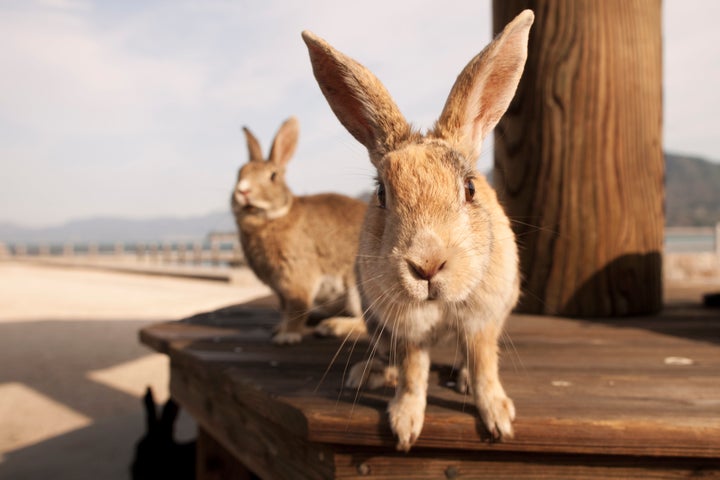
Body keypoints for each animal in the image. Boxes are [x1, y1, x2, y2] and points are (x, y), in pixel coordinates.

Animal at [232, 116, 368, 344]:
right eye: (239, 173)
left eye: (273, 176)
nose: (243, 191)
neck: (273, 218)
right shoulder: (281, 290)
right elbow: (286, 311)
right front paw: (279, 329)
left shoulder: (297, 277)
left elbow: (296, 309)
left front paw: (287, 336)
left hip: (358, 289)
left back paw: (332, 327)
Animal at [300, 9, 536, 452]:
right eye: (381, 194)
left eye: (470, 188)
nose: (427, 266)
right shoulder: (406, 328)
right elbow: (412, 373)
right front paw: (404, 425)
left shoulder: (481, 320)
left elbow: (484, 365)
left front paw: (498, 419)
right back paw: (369, 372)